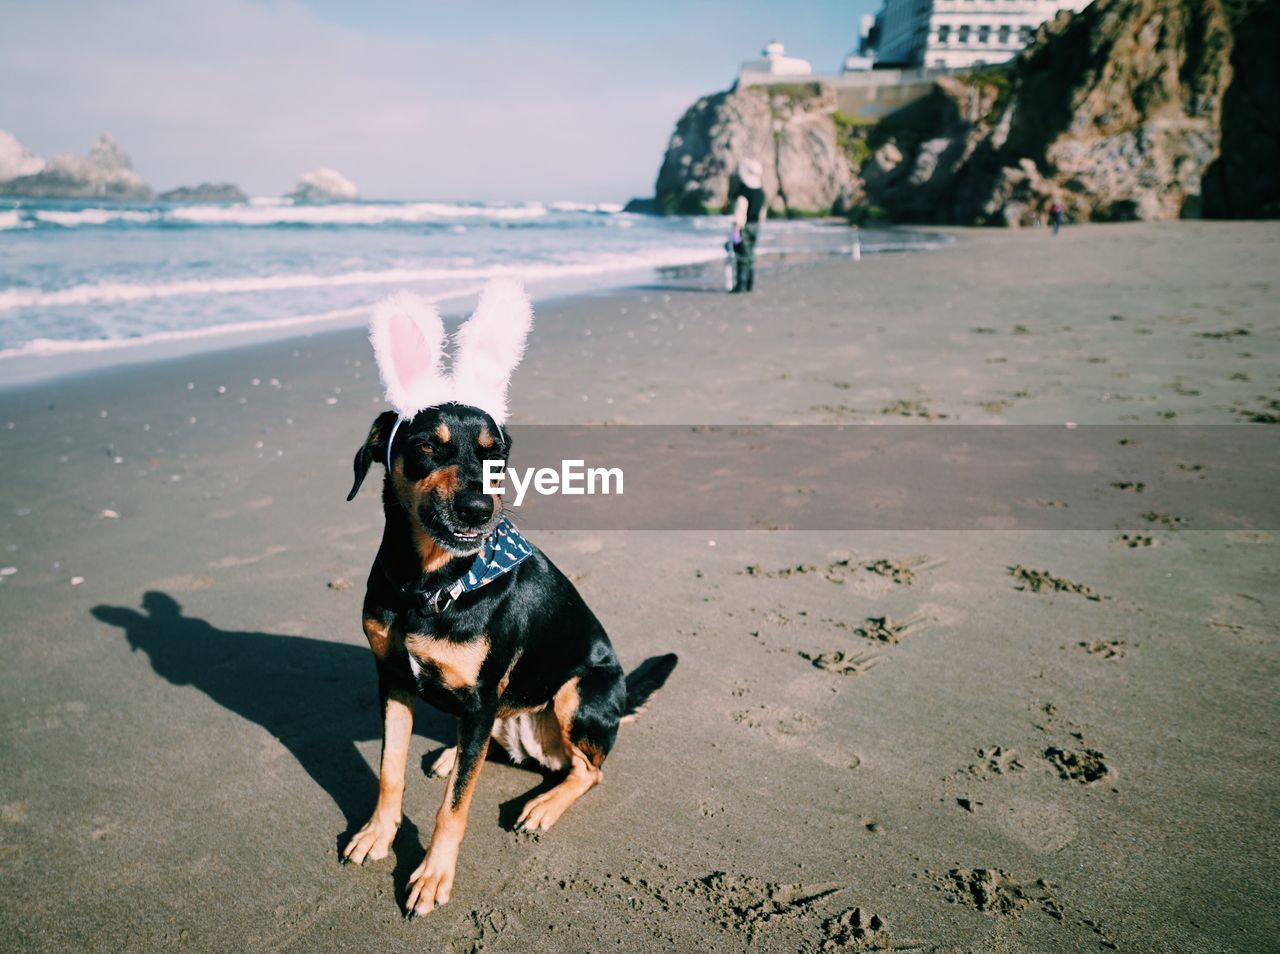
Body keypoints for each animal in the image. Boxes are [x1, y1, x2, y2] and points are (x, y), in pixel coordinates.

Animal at [340, 280, 680, 916]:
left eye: (495, 453)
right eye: (426, 448)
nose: (480, 508)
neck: (429, 584)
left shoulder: (477, 698)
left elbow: (454, 808)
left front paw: (433, 876)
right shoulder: (392, 678)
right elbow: (390, 769)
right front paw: (378, 832)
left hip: (576, 692)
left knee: (588, 771)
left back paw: (542, 803)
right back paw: (451, 756)